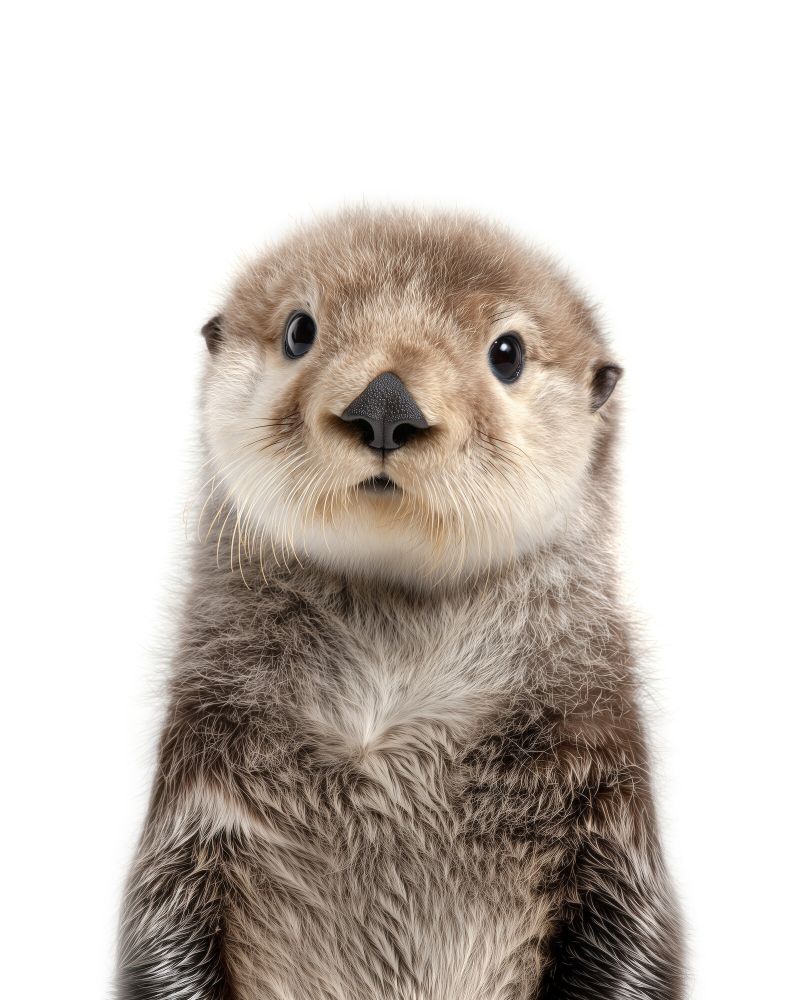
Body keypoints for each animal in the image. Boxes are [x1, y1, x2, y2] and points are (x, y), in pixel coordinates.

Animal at [118, 210, 684, 999]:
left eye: (507, 352)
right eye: (300, 329)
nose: (384, 405)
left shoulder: (601, 777)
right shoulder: (200, 784)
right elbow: (163, 925)